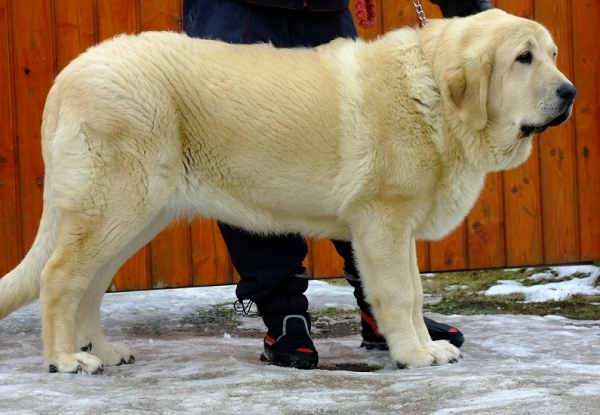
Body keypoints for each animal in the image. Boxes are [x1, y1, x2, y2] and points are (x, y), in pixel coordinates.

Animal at [0, 9, 576, 374]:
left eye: (552, 54)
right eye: (523, 58)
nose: (570, 92)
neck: (432, 92)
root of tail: (69, 73)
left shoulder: (396, 228)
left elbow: (413, 293)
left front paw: (424, 345)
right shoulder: (383, 221)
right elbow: (400, 293)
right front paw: (416, 356)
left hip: (133, 216)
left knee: (90, 284)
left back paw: (100, 349)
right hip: (117, 204)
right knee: (59, 277)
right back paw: (65, 359)